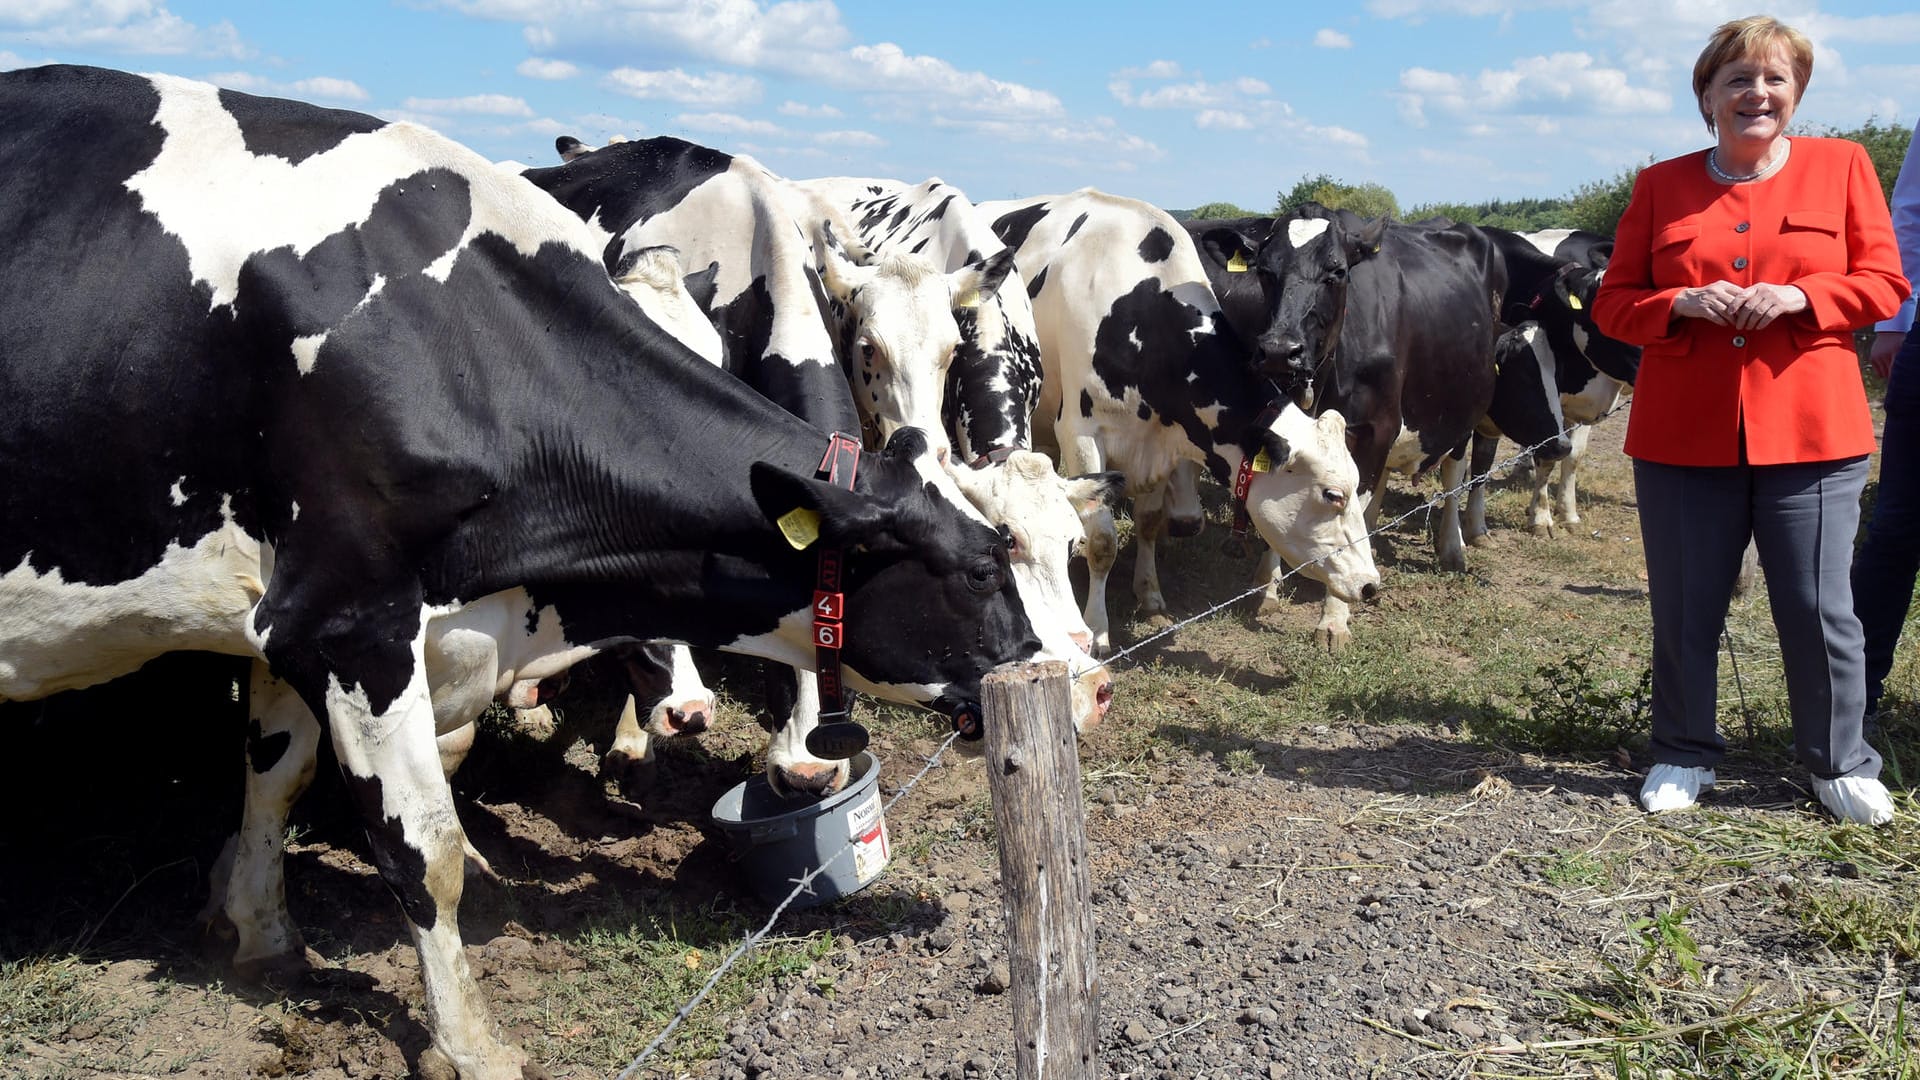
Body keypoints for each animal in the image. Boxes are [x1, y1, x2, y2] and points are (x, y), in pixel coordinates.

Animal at [0, 67, 1105, 1076]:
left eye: (1064, 553)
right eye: (981, 564)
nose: (1067, 681)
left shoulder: (292, 611)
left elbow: (277, 772)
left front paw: (258, 926)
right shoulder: (350, 620)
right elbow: (423, 850)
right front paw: (469, 1043)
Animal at [975, 187, 1382, 645]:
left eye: (1356, 485)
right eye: (1333, 494)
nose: (1370, 583)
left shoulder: (1163, 440)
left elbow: (1150, 520)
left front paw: (1150, 595)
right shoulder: (1081, 434)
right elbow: (1101, 542)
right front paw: (1097, 630)